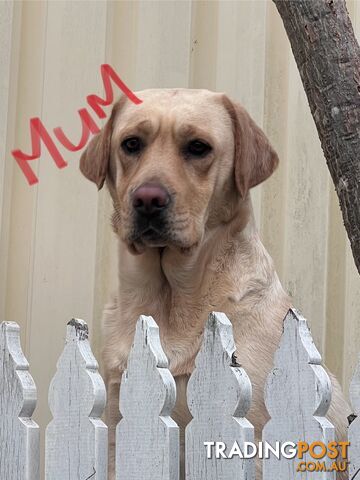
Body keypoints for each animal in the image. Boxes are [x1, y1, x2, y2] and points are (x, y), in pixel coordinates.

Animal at [81, 88, 348, 478]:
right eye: (131, 144)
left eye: (198, 147)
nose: (147, 199)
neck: (172, 299)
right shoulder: (119, 432)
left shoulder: (254, 441)